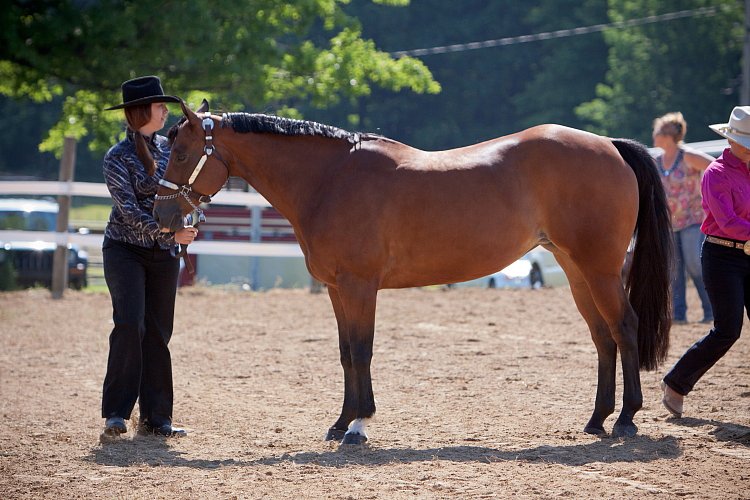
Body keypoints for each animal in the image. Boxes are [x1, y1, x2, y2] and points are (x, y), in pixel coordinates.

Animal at [156, 99, 672, 444]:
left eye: (180, 153)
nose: (162, 216)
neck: (331, 180)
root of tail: (610, 146)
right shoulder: (336, 290)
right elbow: (346, 354)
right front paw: (340, 422)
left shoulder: (360, 287)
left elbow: (362, 351)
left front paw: (359, 425)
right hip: (575, 269)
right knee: (602, 336)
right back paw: (597, 419)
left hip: (599, 269)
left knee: (625, 328)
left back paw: (626, 419)